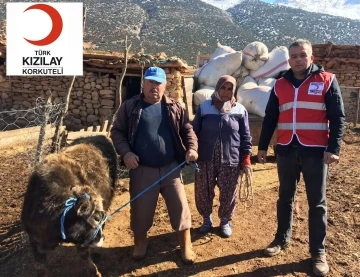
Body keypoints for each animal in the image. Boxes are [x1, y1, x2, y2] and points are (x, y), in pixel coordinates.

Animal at [21, 136, 117, 276]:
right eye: (95, 218)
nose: (102, 238)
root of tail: (100, 137)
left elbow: (83, 254)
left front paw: (94, 271)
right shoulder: (35, 240)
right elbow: (40, 268)